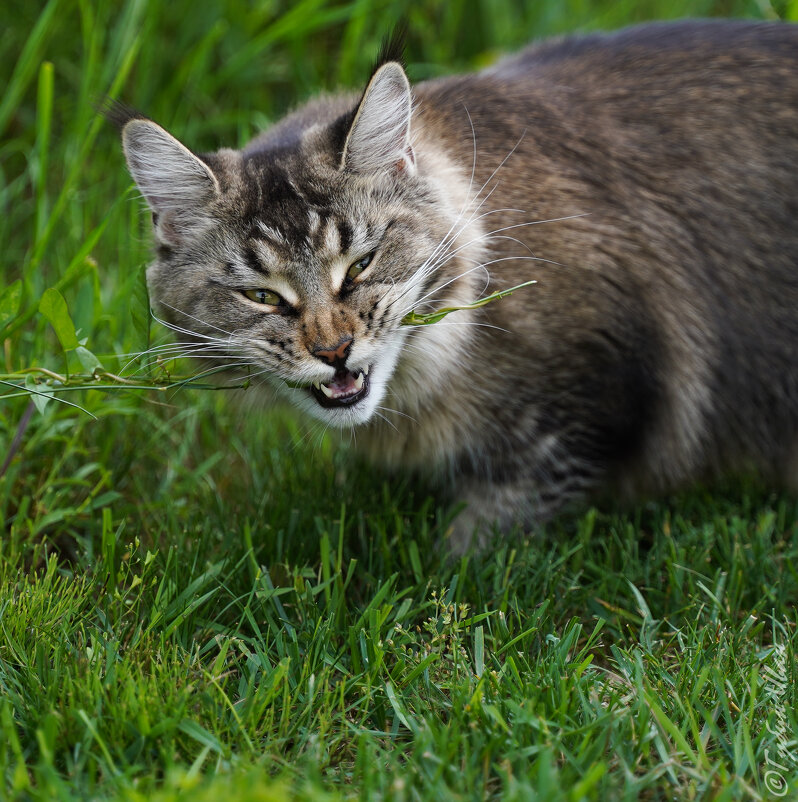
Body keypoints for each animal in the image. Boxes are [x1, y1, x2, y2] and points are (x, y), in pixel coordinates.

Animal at [114, 21, 798, 552]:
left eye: (360, 265)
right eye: (262, 297)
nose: (334, 351)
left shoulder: (591, 398)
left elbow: (496, 529)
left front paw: (453, 570)